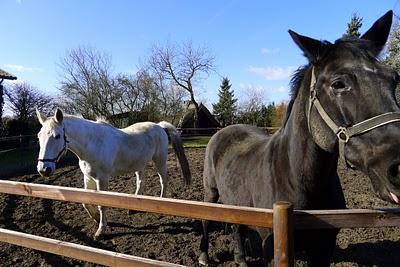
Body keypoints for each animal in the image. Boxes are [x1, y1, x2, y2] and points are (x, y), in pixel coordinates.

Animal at [36, 109, 191, 239]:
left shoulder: (102, 179)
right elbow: (85, 202)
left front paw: (101, 230)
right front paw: (96, 218)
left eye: (57, 136)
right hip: (140, 164)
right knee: (141, 182)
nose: (44, 169)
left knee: (163, 180)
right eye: (38, 136)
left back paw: (161, 203)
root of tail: (160, 126)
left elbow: (102, 204)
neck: (92, 143)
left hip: (160, 161)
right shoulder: (88, 178)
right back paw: (133, 208)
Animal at [199, 9, 400, 266]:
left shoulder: (323, 249)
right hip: (211, 192)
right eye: (338, 83)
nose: (397, 167)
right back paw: (204, 255)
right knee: (206, 219)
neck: (296, 177)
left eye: (393, 78)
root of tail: (223, 131)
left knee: (237, 225)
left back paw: (241, 258)